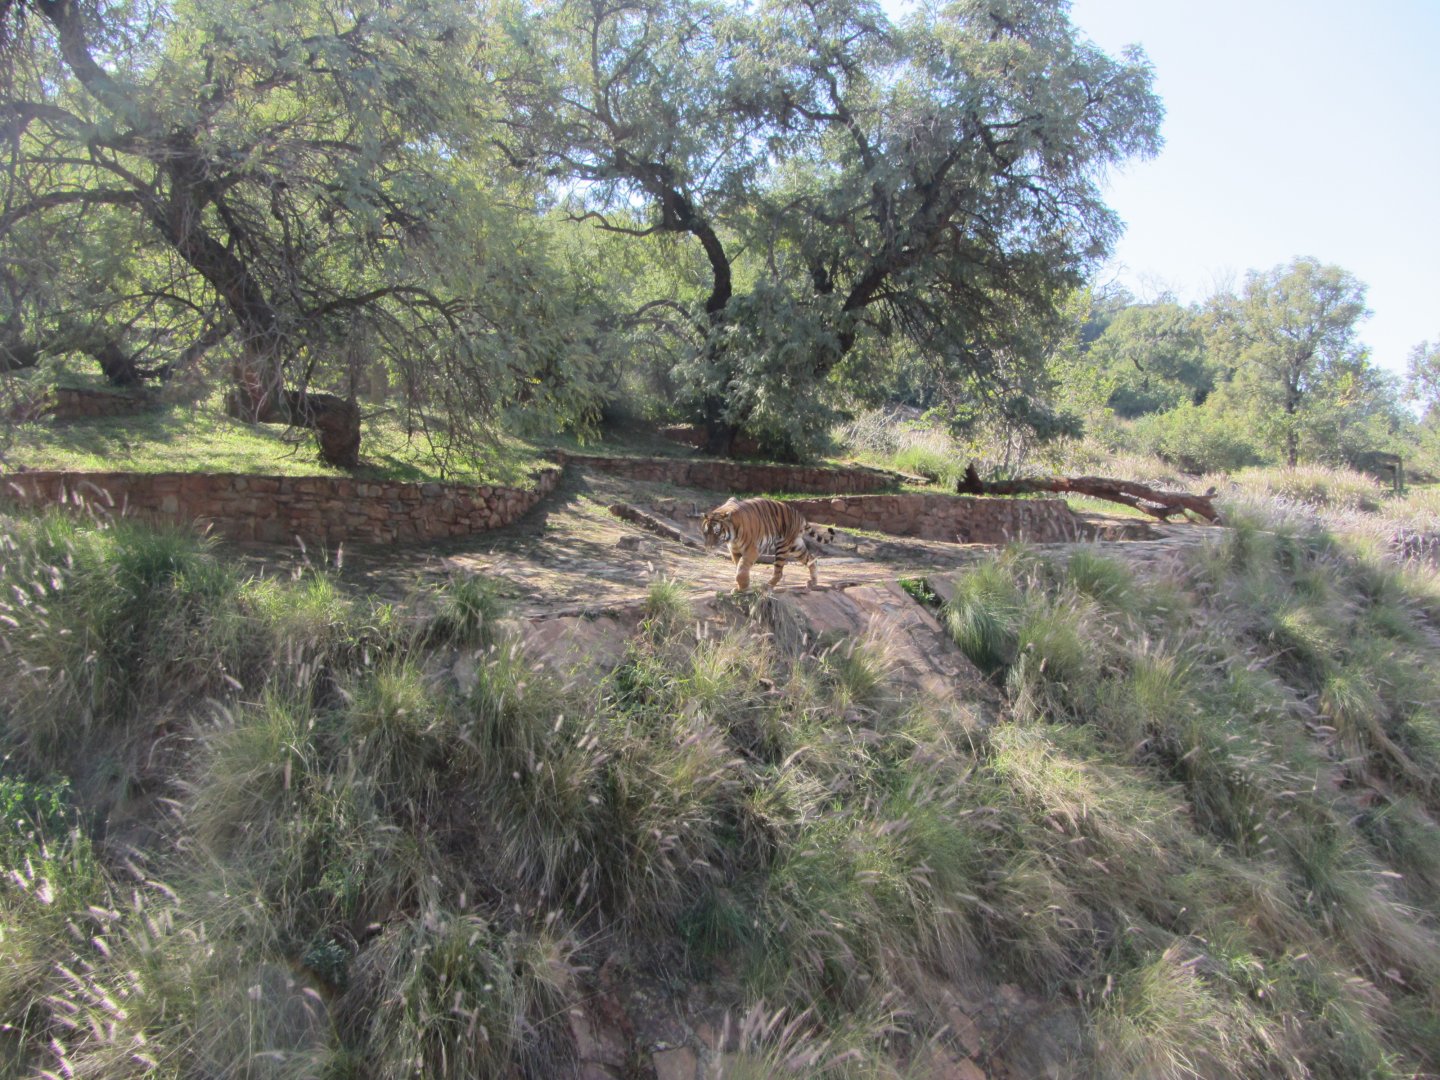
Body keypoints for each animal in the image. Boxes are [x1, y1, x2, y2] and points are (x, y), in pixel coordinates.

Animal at [700, 497, 836, 591]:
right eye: (705, 533)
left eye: (716, 533)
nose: (709, 547)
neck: (731, 536)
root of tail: (799, 515)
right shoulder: (735, 551)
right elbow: (739, 567)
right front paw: (742, 586)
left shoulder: (751, 550)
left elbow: (742, 568)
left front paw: (742, 588)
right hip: (796, 546)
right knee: (812, 559)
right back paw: (813, 582)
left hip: (783, 546)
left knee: (779, 572)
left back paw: (767, 586)